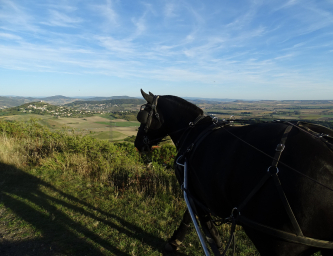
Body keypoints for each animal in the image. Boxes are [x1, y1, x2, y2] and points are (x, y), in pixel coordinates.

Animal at [134, 90, 332, 256]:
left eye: (141, 117)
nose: (137, 143)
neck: (193, 130)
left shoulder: (191, 188)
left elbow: (196, 218)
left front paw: (177, 241)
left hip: (279, 243)